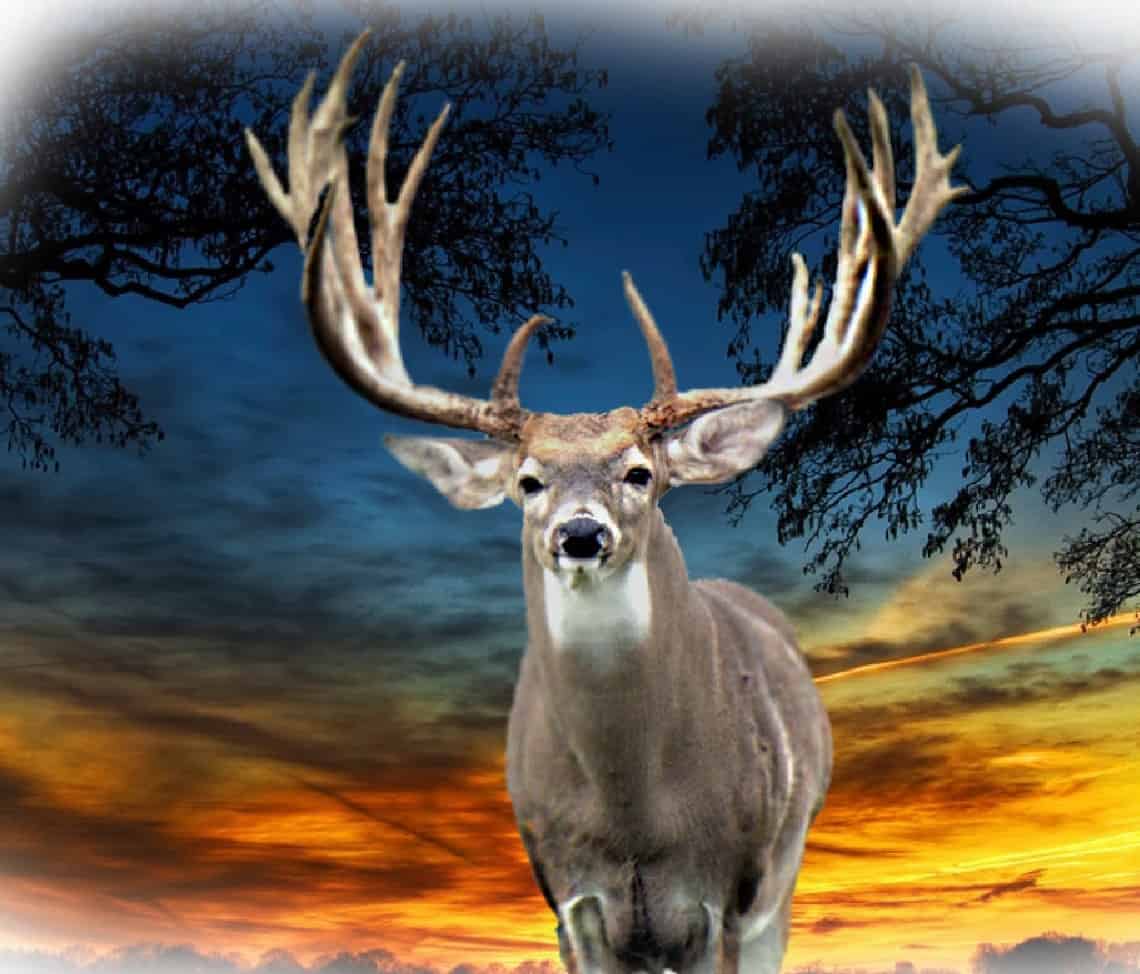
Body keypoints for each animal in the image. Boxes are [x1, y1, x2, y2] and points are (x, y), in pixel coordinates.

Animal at [246, 33, 963, 974]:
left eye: (640, 474)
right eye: (526, 481)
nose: (579, 534)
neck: (635, 818)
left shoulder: (730, 898)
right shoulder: (569, 901)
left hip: (783, 876)